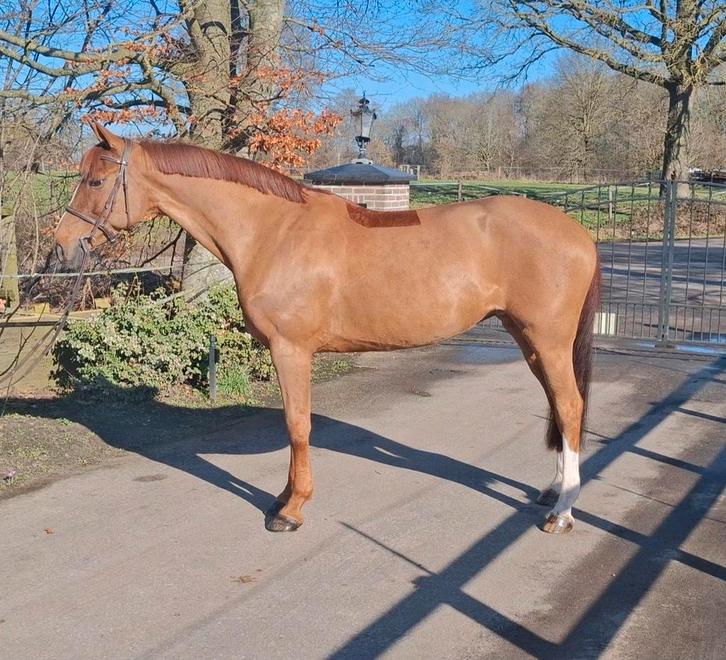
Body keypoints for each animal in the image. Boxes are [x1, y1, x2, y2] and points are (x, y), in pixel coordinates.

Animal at [54, 123, 600, 535]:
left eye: (96, 182)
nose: (62, 246)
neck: (273, 230)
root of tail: (579, 234)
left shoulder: (290, 349)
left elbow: (298, 425)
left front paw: (292, 510)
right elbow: (294, 426)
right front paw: (283, 497)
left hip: (548, 341)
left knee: (571, 406)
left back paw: (562, 513)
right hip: (529, 340)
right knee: (559, 407)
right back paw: (553, 491)